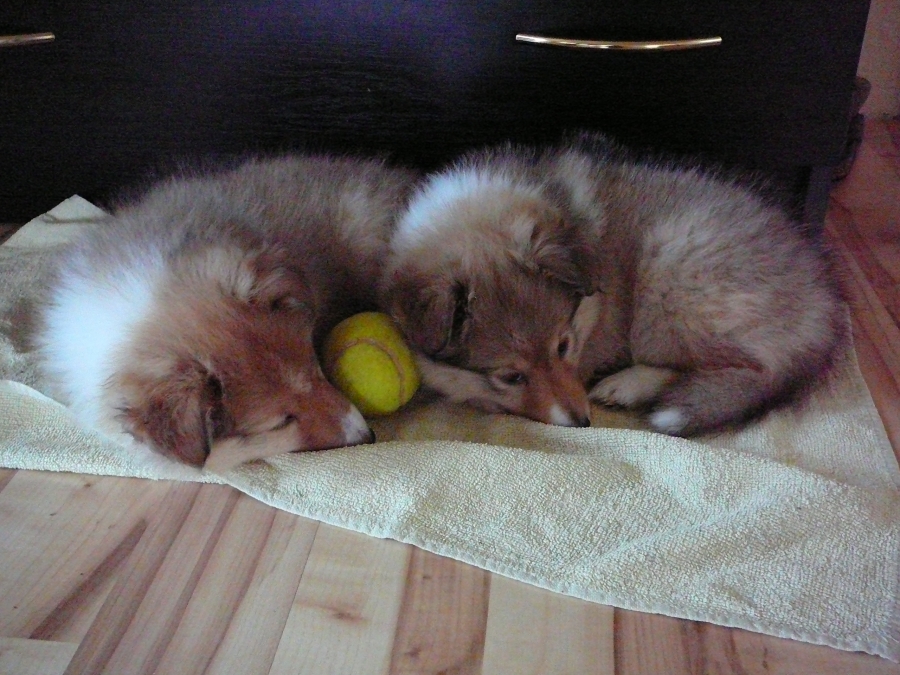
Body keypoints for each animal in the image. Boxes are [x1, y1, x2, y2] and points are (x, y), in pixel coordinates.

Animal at [381, 135, 846, 436]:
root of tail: (824, 308)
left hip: (671, 271)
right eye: (511, 376)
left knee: (745, 368)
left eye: (564, 346)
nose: (582, 424)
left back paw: (628, 385)